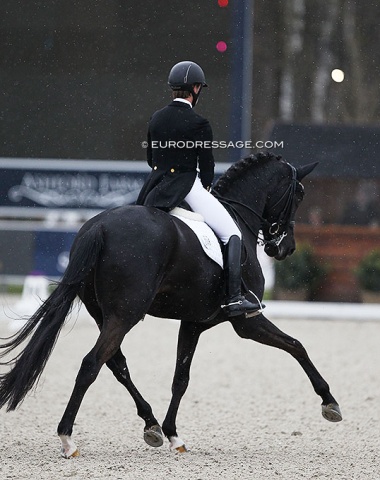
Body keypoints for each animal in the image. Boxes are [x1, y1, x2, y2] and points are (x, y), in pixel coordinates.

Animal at [0, 152, 342, 456]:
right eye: (299, 194)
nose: (285, 248)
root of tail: (99, 226)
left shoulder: (193, 323)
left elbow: (181, 378)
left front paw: (174, 434)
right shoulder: (247, 320)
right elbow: (296, 345)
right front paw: (329, 402)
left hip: (105, 315)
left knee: (117, 364)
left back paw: (150, 425)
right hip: (125, 314)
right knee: (91, 364)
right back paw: (68, 439)